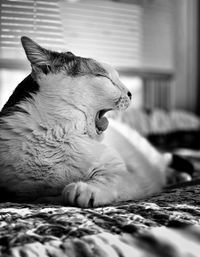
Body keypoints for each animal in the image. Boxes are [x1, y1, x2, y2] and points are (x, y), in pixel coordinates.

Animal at [0, 37, 190, 207]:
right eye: (104, 77)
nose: (130, 93)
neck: (52, 134)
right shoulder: (16, 190)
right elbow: (38, 195)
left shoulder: (127, 175)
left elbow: (106, 179)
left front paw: (84, 189)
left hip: (148, 156)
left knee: (162, 163)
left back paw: (179, 176)